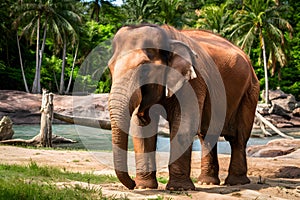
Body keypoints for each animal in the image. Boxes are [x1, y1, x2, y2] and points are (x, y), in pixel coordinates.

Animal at [108, 24, 260, 191]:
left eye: (145, 70)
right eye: (110, 68)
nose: (132, 184)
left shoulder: (193, 81)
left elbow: (184, 123)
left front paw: (178, 188)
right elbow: (143, 125)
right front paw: (145, 187)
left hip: (250, 92)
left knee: (238, 137)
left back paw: (236, 182)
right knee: (208, 135)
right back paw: (207, 182)